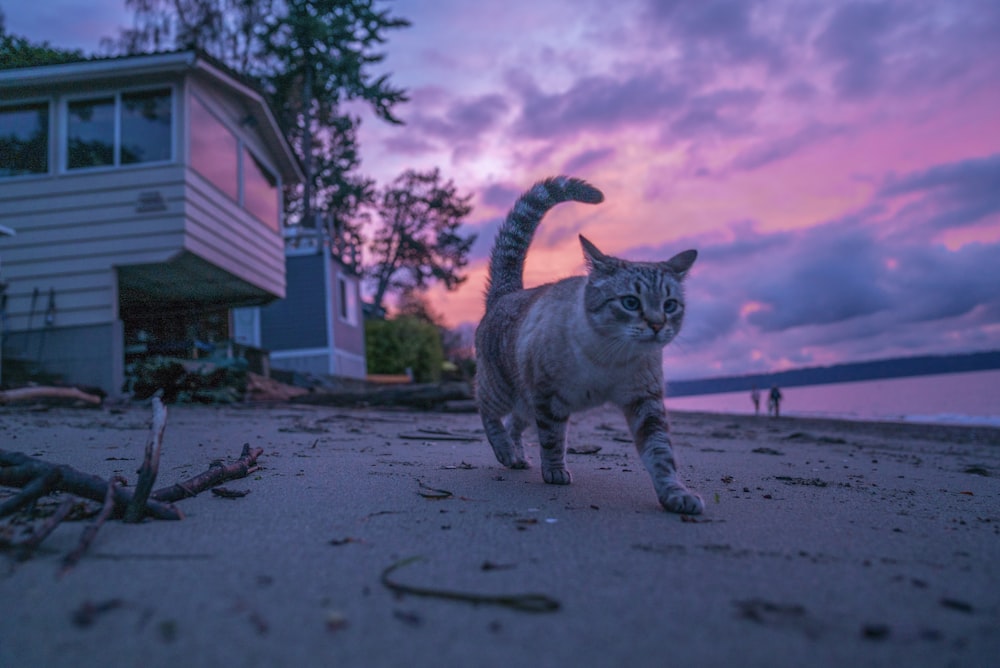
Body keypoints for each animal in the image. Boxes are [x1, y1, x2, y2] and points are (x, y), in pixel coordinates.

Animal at [474, 175, 704, 516]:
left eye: (670, 305)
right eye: (630, 302)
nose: (657, 325)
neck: (611, 359)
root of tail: (507, 292)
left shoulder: (645, 399)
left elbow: (660, 452)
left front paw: (676, 494)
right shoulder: (549, 396)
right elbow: (553, 438)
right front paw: (555, 472)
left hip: (526, 400)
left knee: (515, 422)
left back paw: (517, 458)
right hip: (504, 387)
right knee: (487, 410)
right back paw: (505, 452)